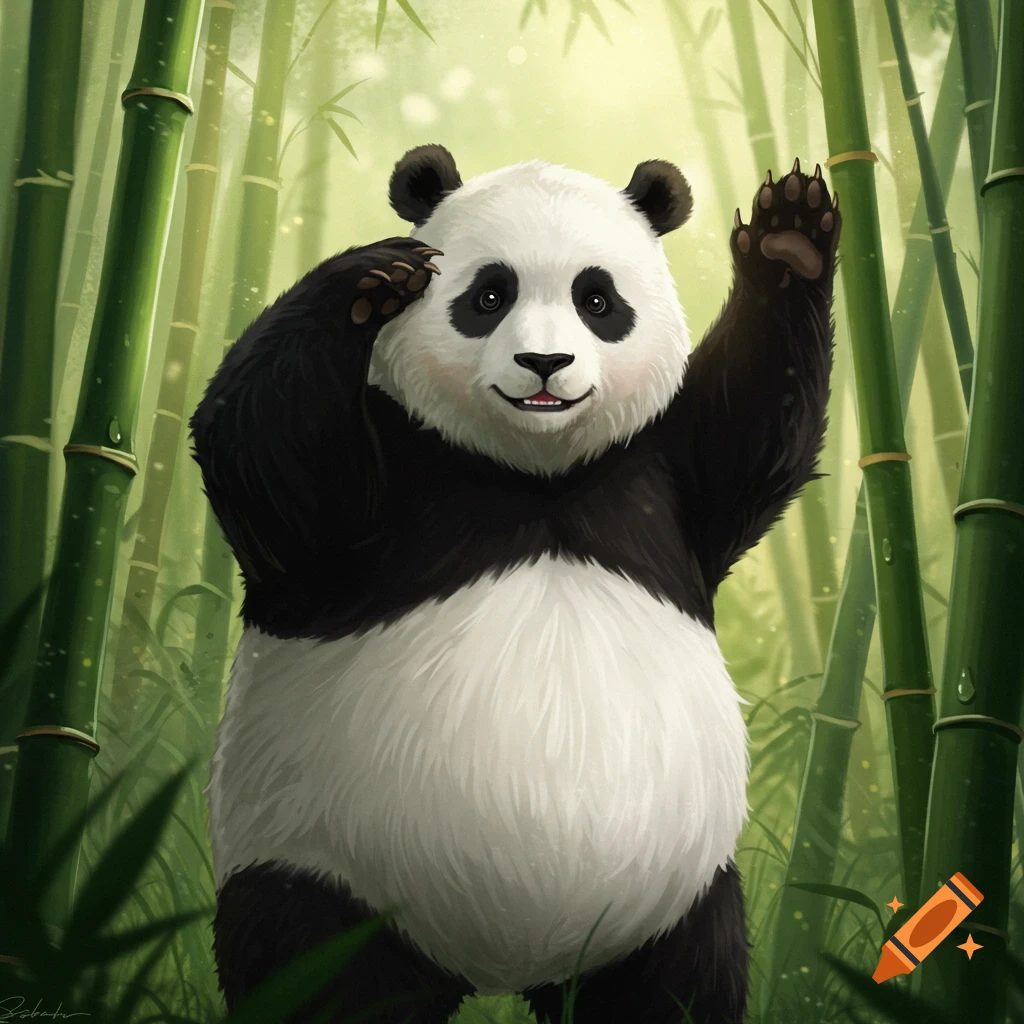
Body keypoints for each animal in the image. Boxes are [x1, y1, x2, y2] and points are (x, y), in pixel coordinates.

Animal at [192, 144, 840, 1024]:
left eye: (596, 299)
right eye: (489, 295)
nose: (544, 364)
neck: (536, 478)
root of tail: (502, 965)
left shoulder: (660, 476)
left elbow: (754, 428)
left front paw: (790, 235)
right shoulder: (391, 484)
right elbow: (267, 471)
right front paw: (367, 282)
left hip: (675, 900)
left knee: (676, 985)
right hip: (321, 871)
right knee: (317, 974)